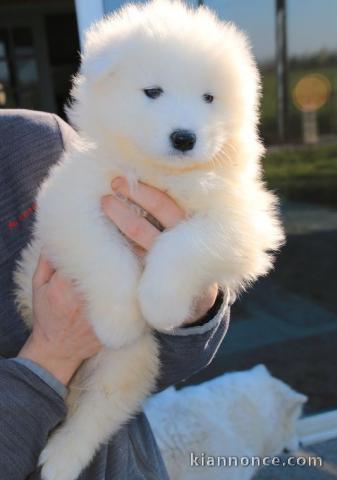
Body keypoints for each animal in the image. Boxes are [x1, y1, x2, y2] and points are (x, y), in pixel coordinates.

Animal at [14, 0, 284, 480]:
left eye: (209, 98)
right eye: (153, 92)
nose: (184, 137)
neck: (162, 174)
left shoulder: (244, 220)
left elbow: (185, 243)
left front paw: (160, 304)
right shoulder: (72, 204)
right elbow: (107, 256)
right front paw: (120, 318)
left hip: (124, 369)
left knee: (96, 416)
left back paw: (60, 459)